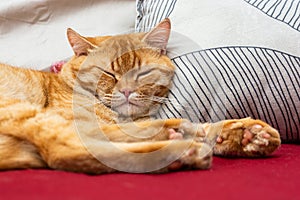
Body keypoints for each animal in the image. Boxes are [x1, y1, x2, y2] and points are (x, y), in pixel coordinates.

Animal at [0, 19, 282, 174]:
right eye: (108, 73)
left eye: (142, 73)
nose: (126, 91)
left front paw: (245, 135)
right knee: (63, 151)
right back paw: (180, 149)